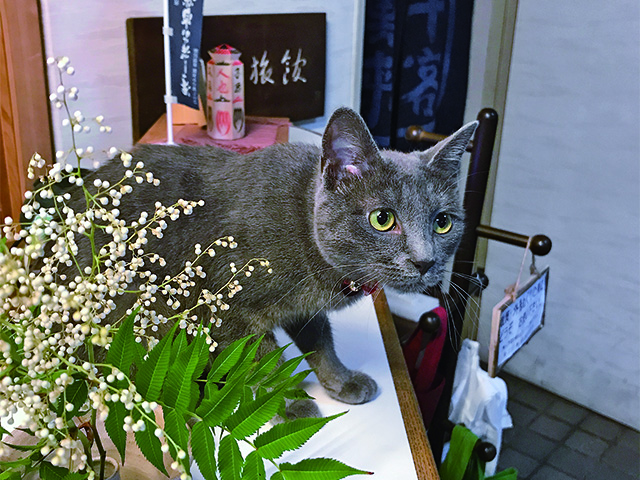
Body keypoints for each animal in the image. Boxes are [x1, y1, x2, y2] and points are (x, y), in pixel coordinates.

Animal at [80, 107, 477, 417]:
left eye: (443, 222)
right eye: (382, 219)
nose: (425, 261)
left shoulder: (304, 309)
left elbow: (322, 342)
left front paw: (342, 381)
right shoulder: (228, 306)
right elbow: (265, 361)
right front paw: (288, 403)